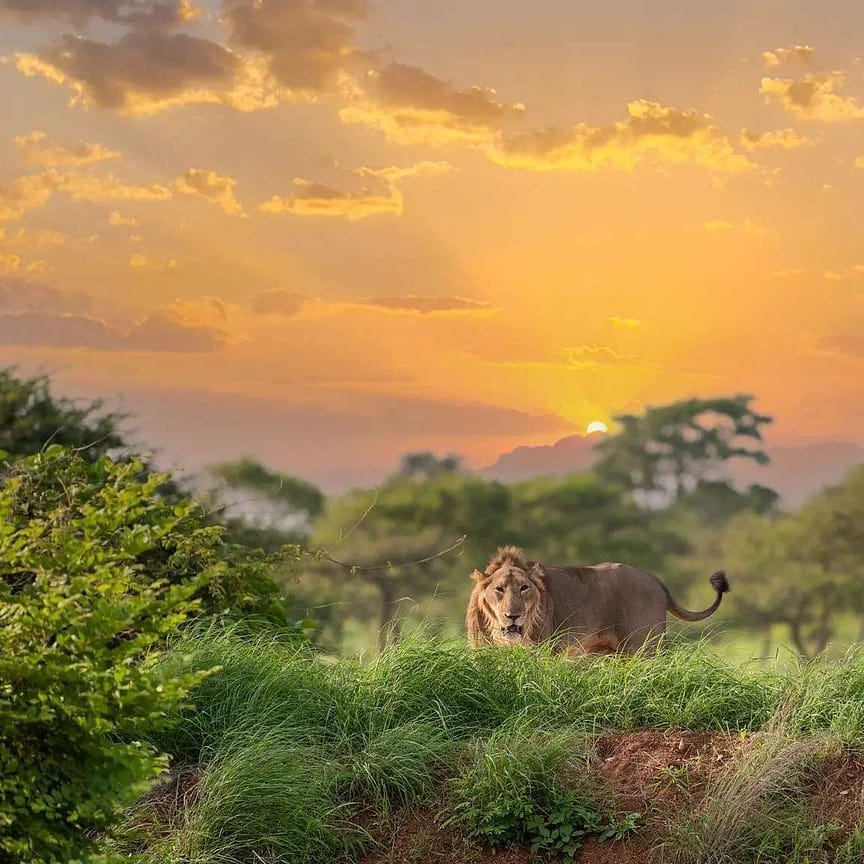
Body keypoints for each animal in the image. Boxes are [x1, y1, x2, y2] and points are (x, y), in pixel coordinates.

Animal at [466, 545, 729, 655]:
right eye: (499, 589)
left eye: (524, 588)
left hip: (644, 645)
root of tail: (654, 579)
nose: (513, 616)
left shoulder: (541, 649)